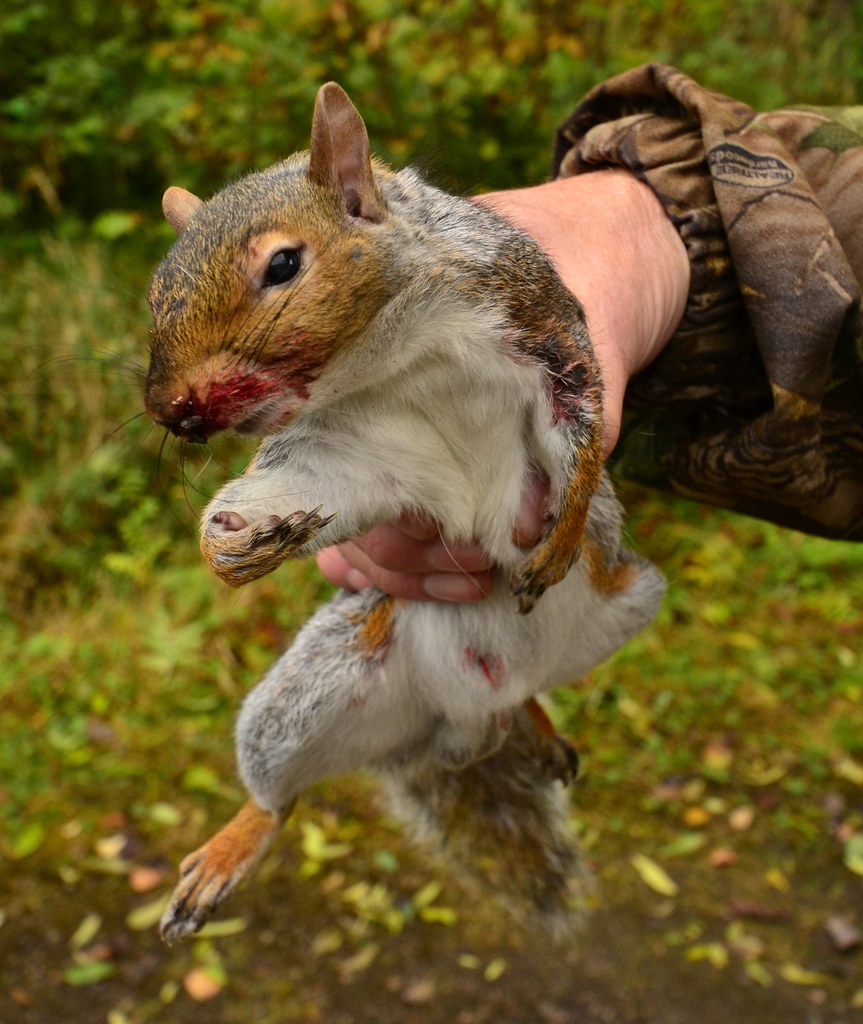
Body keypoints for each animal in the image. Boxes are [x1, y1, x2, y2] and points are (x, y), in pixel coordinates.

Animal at [144, 83, 665, 943]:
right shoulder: (347, 450)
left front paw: (558, 538)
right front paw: (234, 546)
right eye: (155, 293)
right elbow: (315, 490)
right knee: (278, 797)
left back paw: (536, 719)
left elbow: (584, 430)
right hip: (302, 702)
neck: (392, 355)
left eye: (282, 264)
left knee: (533, 687)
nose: (169, 411)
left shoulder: (541, 328)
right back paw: (230, 848)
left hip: (627, 602)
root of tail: (463, 721)